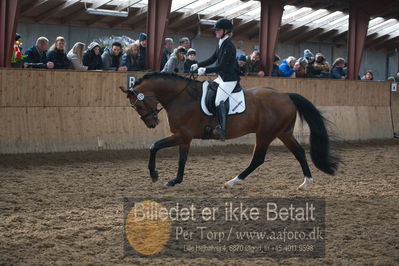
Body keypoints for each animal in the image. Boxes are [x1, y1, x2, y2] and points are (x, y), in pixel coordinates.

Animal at [118, 72, 338, 189]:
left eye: (138, 105)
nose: (152, 123)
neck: (182, 98)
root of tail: (286, 95)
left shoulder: (181, 135)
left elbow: (153, 146)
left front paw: (154, 174)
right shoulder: (185, 138)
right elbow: (182, 159)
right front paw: (175, 180)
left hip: (266, 134)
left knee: (258, 159)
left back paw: (232, 182)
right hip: (283, 133)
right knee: (299, 152)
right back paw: (306, 183)